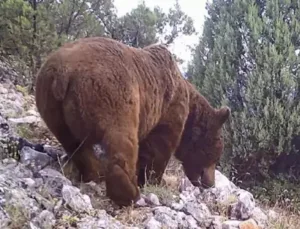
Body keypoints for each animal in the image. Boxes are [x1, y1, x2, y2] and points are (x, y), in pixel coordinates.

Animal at [35, 36, 232, 207]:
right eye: (215, 156)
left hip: (50, 104)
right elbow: (159, 146)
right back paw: (129, 193)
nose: (210, 184)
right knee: (122, 139)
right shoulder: (169, 108)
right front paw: (154, 180)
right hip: (111, 92)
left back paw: (95, 172)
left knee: (74, 144)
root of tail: (63, 72)